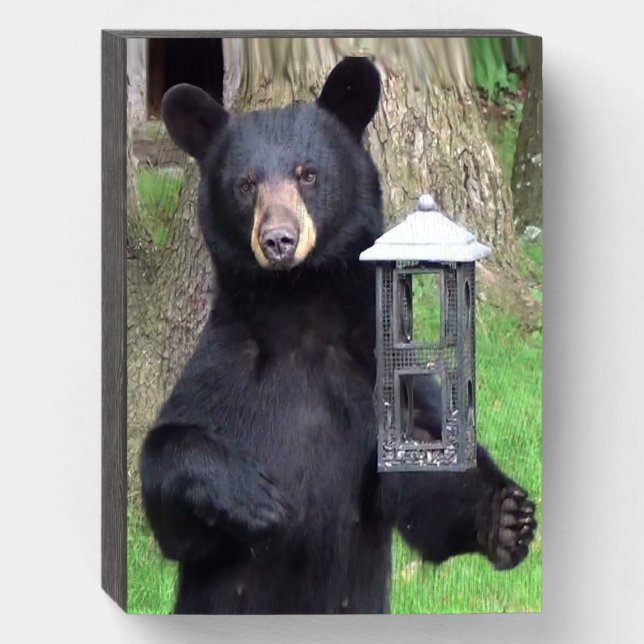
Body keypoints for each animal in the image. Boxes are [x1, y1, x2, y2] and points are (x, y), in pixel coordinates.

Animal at [139, 57, 537, 615]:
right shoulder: (226, 367)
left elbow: (424, 470)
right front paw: (256, 498)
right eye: (246, 183)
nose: (278, 240)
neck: (301, 308)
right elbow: (170, 488)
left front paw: (504, 516)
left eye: (308, 173)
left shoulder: (374, 369)